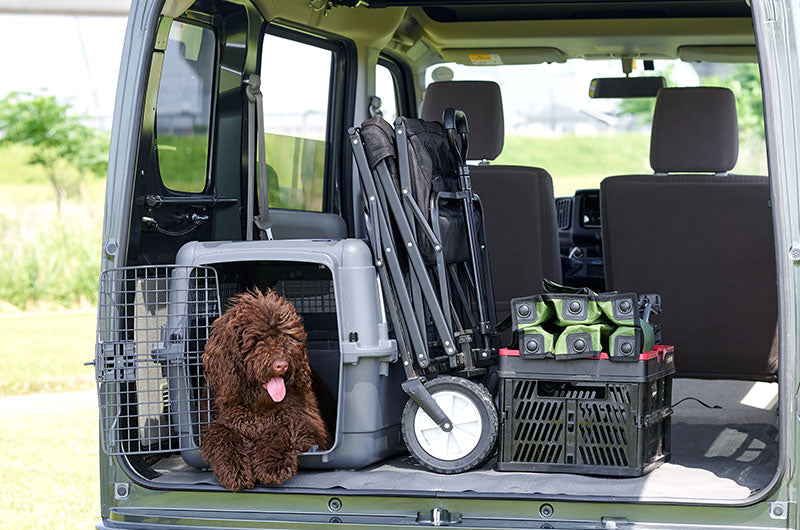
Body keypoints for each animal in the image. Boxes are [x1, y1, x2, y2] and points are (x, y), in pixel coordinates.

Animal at [202, 286, 330, 488]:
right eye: (256, 340)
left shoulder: (309, 424)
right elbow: (221, 434)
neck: (259, 408)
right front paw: (234, 469)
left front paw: (271, 465)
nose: (282, 365)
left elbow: (280, 429)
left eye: (286, 337)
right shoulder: (221, 421)